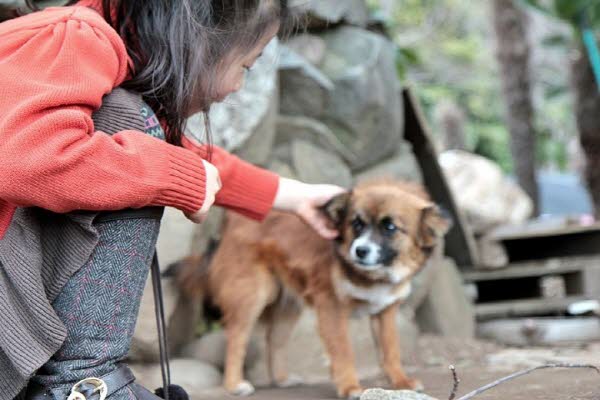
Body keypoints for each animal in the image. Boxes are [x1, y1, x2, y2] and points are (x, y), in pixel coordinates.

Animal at [173, 180, 450, 398]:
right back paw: (234, 385)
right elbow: (343, 351)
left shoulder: (385, 311)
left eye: (390, 227)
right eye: (356, 224)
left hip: (289, 305)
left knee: (275, 340)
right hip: (253, 294)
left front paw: (401, 381)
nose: (360, 250)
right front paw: (350, 387)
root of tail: (231, 220)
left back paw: (282, 379)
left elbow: (391, 351)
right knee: (236, 339)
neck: (372, 276)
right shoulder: (331, 307)